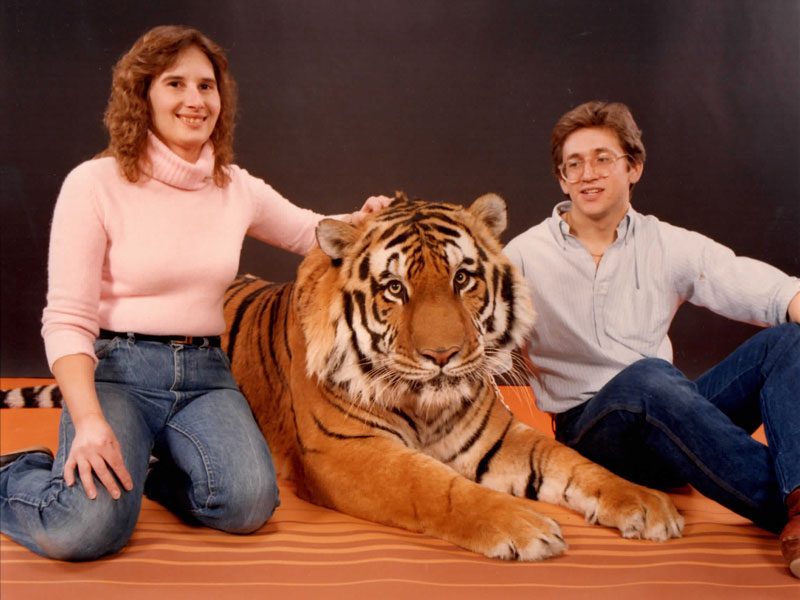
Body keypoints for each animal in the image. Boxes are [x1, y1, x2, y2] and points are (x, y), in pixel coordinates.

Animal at [223, 195, 680, 560]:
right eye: (394, 288)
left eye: (461, 278)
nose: (442, 355)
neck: (424, 406)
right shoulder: (343, 448)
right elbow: (430, 485)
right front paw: (525, 525)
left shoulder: (499, 436)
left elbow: (570, 461)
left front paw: (646, 503)